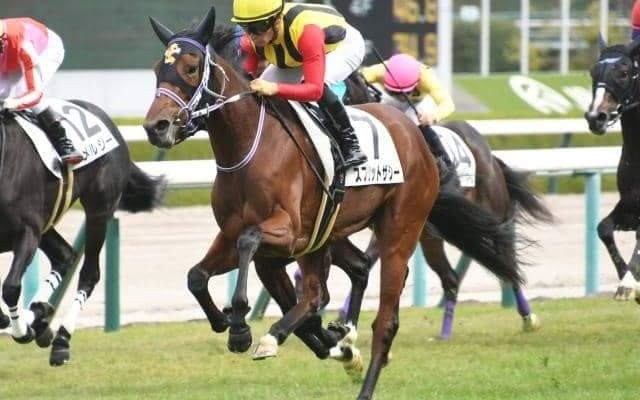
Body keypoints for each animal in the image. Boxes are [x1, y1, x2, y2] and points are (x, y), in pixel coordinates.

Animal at [0, 99, 164, 366]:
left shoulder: (27, 231)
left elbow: (11, 287)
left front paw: (22, 330)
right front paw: (25, 321)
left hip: (99, 209)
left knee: (89, 272)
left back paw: (60, 339)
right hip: (49, 224)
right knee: (65, 255)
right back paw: (40, 317)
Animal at [143, 8, 524, 399]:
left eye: (191, 68)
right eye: (158, 69)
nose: (156, 126)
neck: (250, 146)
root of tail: (414, 134)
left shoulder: (288, 232)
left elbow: (253, 244)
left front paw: (240, 327)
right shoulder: (237, 235)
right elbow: (197, 276)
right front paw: (227, 321)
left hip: (400, 229)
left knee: (382, 318)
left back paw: (359, 375)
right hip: (327, 236)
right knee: (330, 285)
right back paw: (329, 340)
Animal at [340, 73, 553, 338]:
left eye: (347, 96)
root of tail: (491, 157)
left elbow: (367, 261)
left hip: (490, 217)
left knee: (508, 267)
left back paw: (528, 318)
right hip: (432, 235)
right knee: (451, 278)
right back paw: (445, 331)